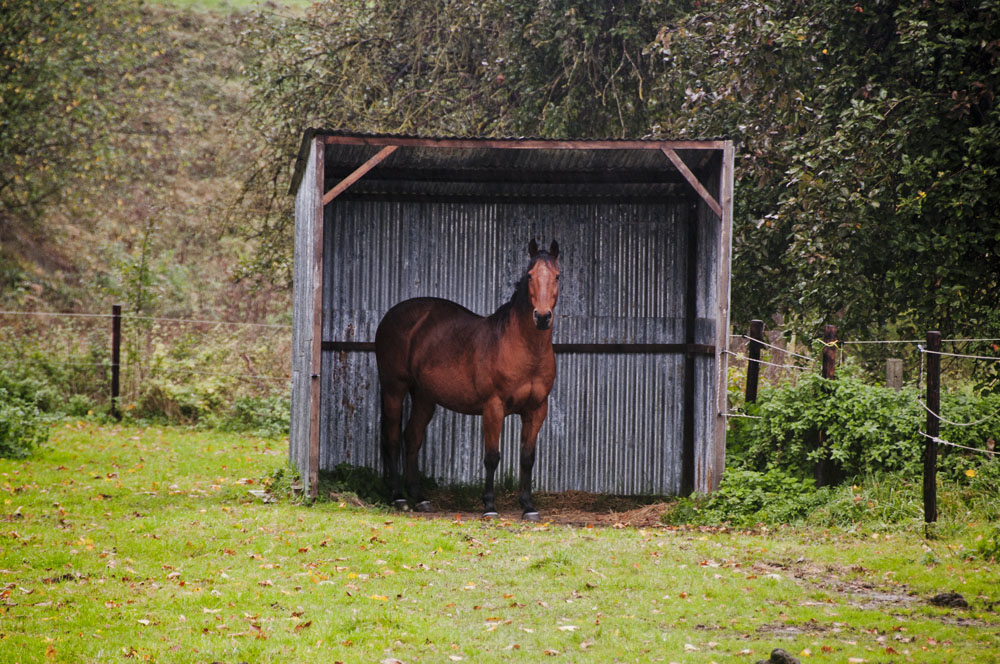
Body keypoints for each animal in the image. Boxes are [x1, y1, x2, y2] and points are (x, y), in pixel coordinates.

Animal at [376, 241, 564, 520]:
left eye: (557, 276)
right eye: (529, 275)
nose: (542, 317)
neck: (523, 348)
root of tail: (391, 316)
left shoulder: (537, 410)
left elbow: (527, 458)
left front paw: (528, 507)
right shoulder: (494, 407)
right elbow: (492, 457)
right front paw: (489, 507)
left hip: (424, 397)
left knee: (412, 438)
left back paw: (420, 498)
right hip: (394, 390)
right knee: (392, 439)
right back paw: (399, 497)